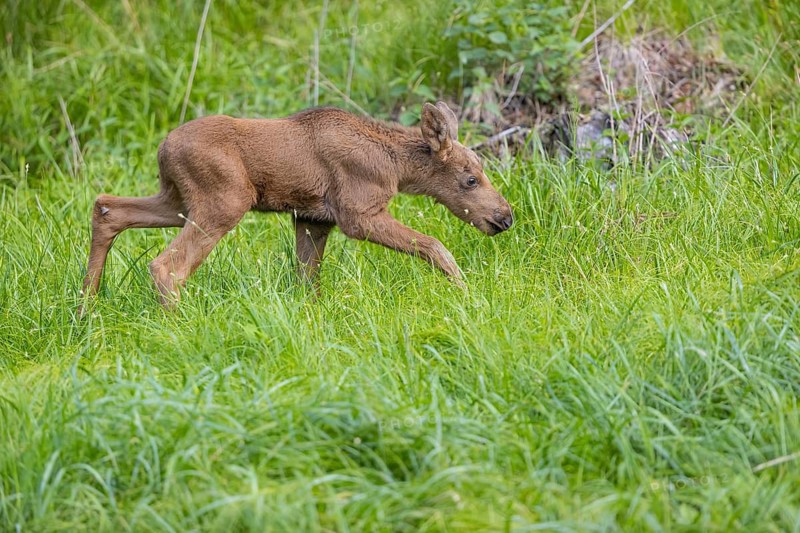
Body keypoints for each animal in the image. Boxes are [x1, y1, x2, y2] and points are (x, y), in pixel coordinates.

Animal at [80, 101, 513, 311]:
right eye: (470, 179)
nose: (504, 217)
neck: (396, 167)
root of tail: (162, 149)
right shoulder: (357, 214)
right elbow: (434, 245)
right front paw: (467, 293)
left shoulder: (312, 218)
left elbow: (308, 281)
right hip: (223, 201)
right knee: (167, 265)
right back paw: (179, 328)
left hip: (176, 200)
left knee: (107, 208)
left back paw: (86, 308)